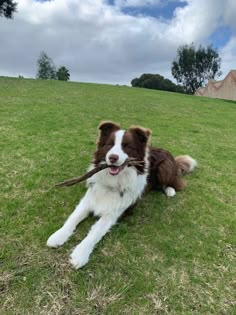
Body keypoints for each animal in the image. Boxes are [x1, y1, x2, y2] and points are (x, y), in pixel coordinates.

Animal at [47, 121, 196, 270]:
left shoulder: (113, 214)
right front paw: (58, 236)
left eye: (127, 146)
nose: (113, 157)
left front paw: (80, 254)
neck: (113, 182)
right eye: (110, 144)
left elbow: (95, 232)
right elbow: (72, 218)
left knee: (174, 181)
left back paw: (170, 190)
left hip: (164, 169)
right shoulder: (87, 201)